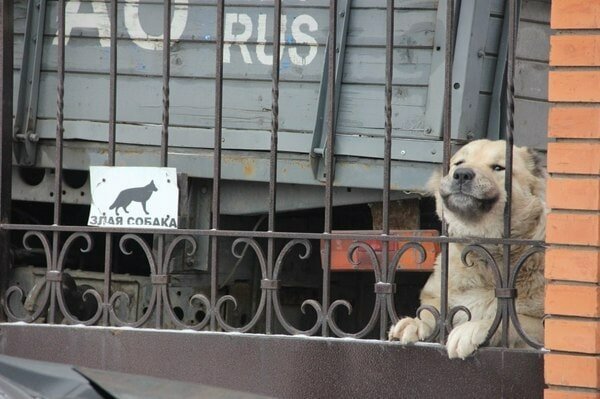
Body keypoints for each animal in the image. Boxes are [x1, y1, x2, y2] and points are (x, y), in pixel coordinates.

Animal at [386, 140, 548, 360]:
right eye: (459, 163)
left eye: (498, 167)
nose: (462, 174)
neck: (483, 254)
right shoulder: (434, 296)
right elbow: (430, 312)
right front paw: (414, 323)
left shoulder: (542, 325)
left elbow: (508, 321)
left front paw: (469, 330)